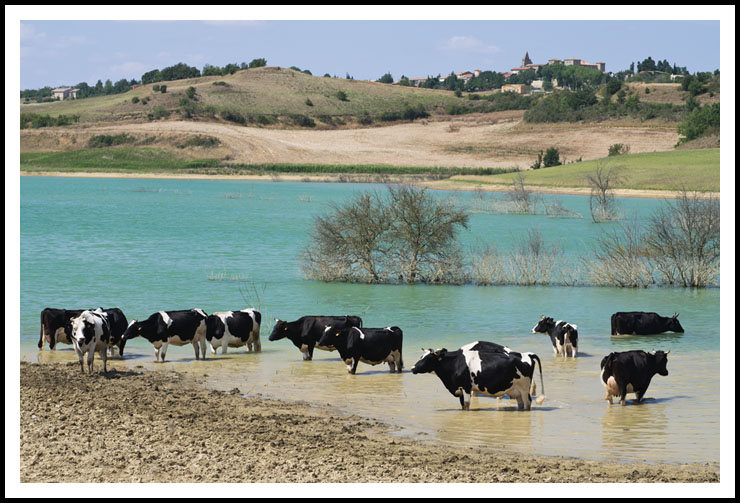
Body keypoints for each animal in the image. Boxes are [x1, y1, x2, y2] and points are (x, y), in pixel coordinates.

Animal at [410, 342, 544, 414]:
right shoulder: (460, 389)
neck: (455, 362)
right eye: (421, 356)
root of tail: (527, 354)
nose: (412, 368)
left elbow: (466, 404)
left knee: (528, 403)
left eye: (428, 358)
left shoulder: (466, 388)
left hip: (524, 388)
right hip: (515, 390)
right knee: (520, 404)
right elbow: (462, 405)